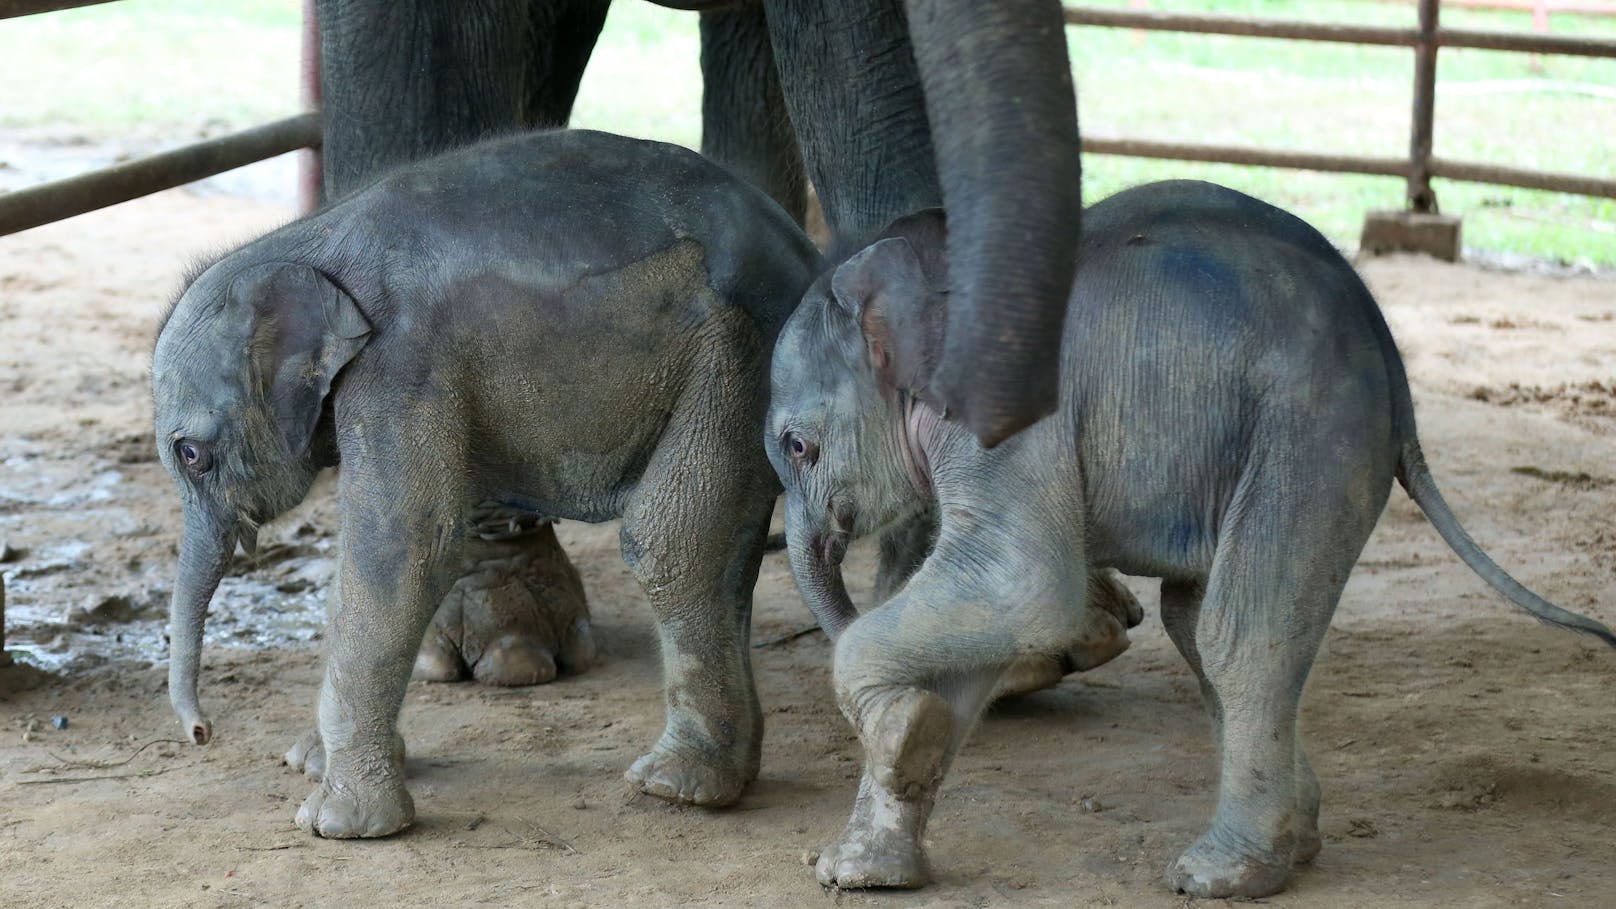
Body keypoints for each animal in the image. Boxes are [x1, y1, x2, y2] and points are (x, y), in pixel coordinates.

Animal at [154, 125, 820, 834]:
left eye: (190, 455)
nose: (201, 733)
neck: (297, 242)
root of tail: (806, 254)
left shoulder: (400, 369)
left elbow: (402, 550)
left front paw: (338, 822)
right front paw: (311, 763)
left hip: (740, 355)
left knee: (671, 543)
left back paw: (675, 786)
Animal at [769, 180, 1616, 892]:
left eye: (797, 446)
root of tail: (1394, 366)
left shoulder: (1009, 415)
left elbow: (1019, 584)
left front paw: (899, 735)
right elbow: (988, 615)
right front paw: (864, 860)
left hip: (1311, 432)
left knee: (1245, 633)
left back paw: (1223, 874)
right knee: (1195, 619)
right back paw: (1296, 839)